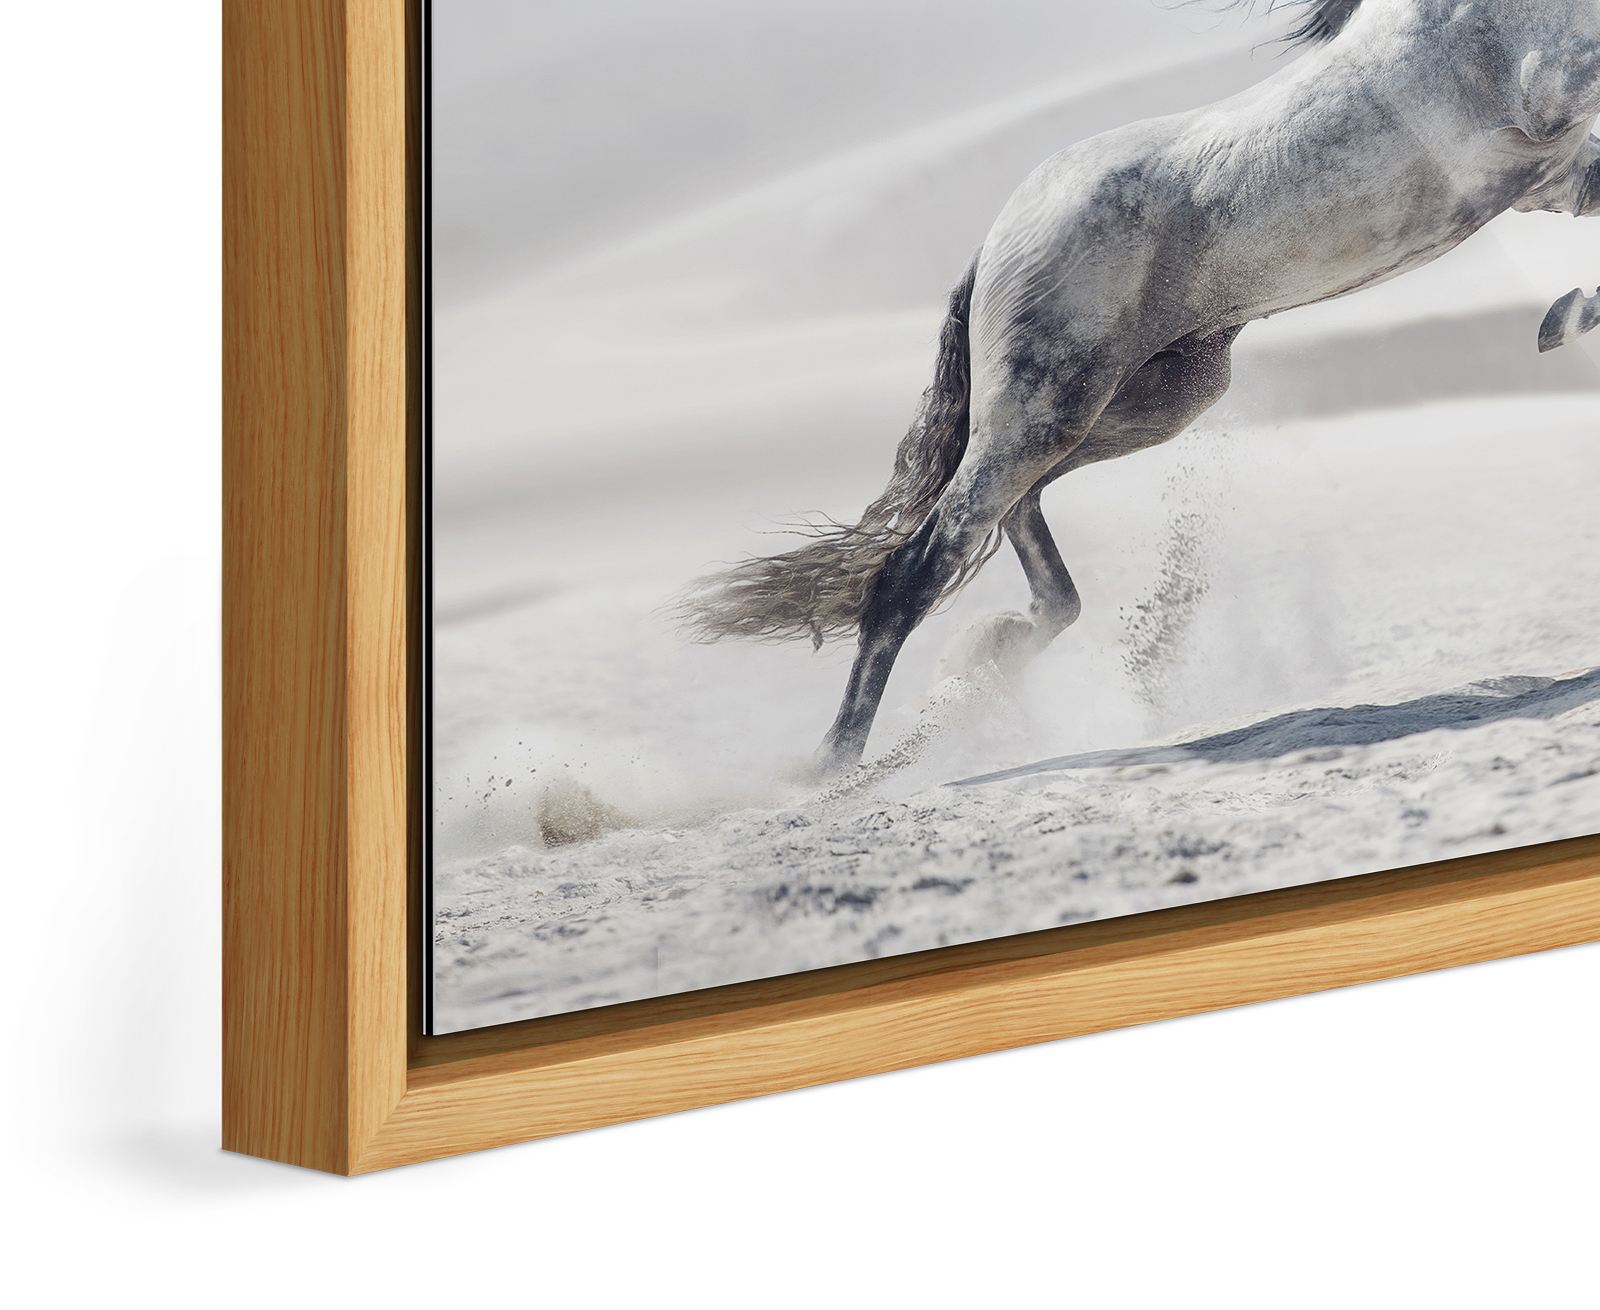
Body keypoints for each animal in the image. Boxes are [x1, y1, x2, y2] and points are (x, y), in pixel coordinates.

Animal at [678, 0, 1600, 774]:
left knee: (1015, 519)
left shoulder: (1547, 174)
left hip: (1142, 404)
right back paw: (834, 767)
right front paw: (1564, 317)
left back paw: (992, 651)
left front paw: (1563, 317)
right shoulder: (1543, 117)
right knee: (918, 564)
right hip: (1050, 405)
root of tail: (992, 245)